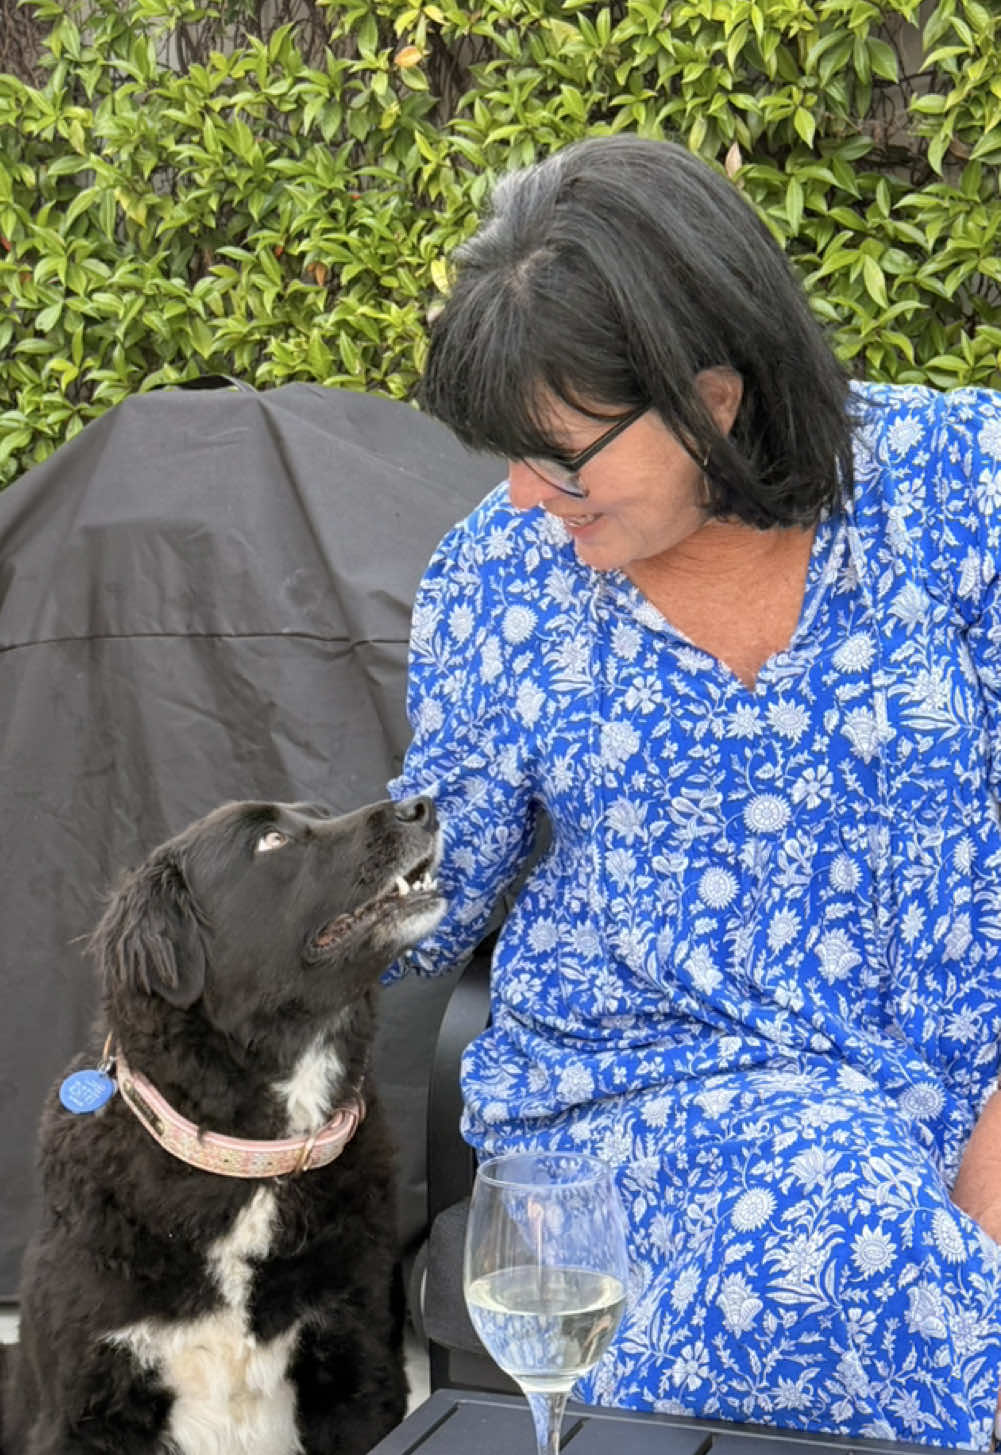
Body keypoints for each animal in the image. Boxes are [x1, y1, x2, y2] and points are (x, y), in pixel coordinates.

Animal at [0, 797, 445, 1455]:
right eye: (271, 840)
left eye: (321, 813)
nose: (422, 803)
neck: (254, 1158)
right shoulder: (87, 1408)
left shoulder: (358, 1368)